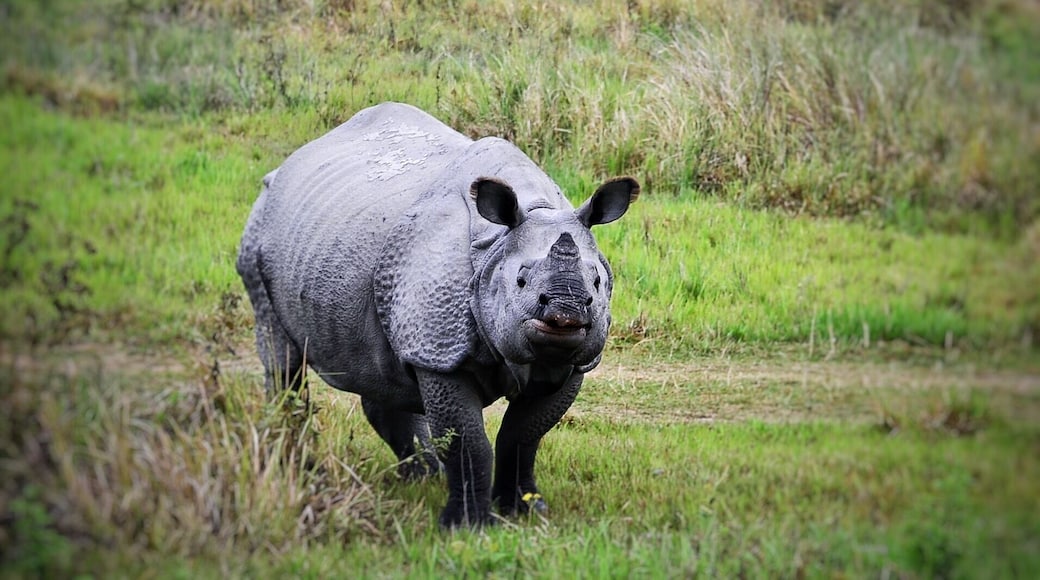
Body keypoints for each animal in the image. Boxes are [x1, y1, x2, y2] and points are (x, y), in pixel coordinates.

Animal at [237, 102, 638, 527]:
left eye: (597, 282)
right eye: (521, 280)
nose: (565, 315)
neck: (495, 246)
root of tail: (290, 162)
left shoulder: (570, 363)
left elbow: (523, 436)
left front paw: (526, 510)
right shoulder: (438, 352)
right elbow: (467, 441)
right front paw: (467, 526)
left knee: (379, 368)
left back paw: (420, 477)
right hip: (259, 232)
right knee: (282, 360)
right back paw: (294, 465)